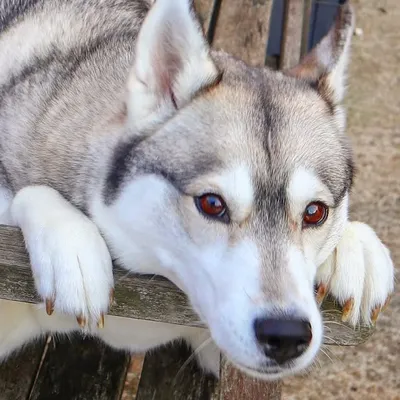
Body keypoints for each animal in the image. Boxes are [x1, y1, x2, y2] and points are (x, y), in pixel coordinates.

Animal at [0, 0, 394, 380]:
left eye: (315, 212)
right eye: (212, 203)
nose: (286, 335)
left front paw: (355, 247)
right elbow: (26, 194)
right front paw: (71, 243)